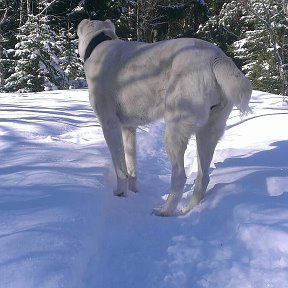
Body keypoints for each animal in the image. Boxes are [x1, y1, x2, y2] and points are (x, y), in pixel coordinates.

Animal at [77, 19, 252, 216]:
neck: (99, 42)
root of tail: (216, 57)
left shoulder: (109, 124)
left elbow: (120, 168)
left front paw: (121, 193)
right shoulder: (129, 128)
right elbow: (132, 166)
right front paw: (133, 191)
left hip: (174, 129)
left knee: (180, 176)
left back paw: (165, 211)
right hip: (208, 132)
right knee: (203, 177)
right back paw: (187, 210)